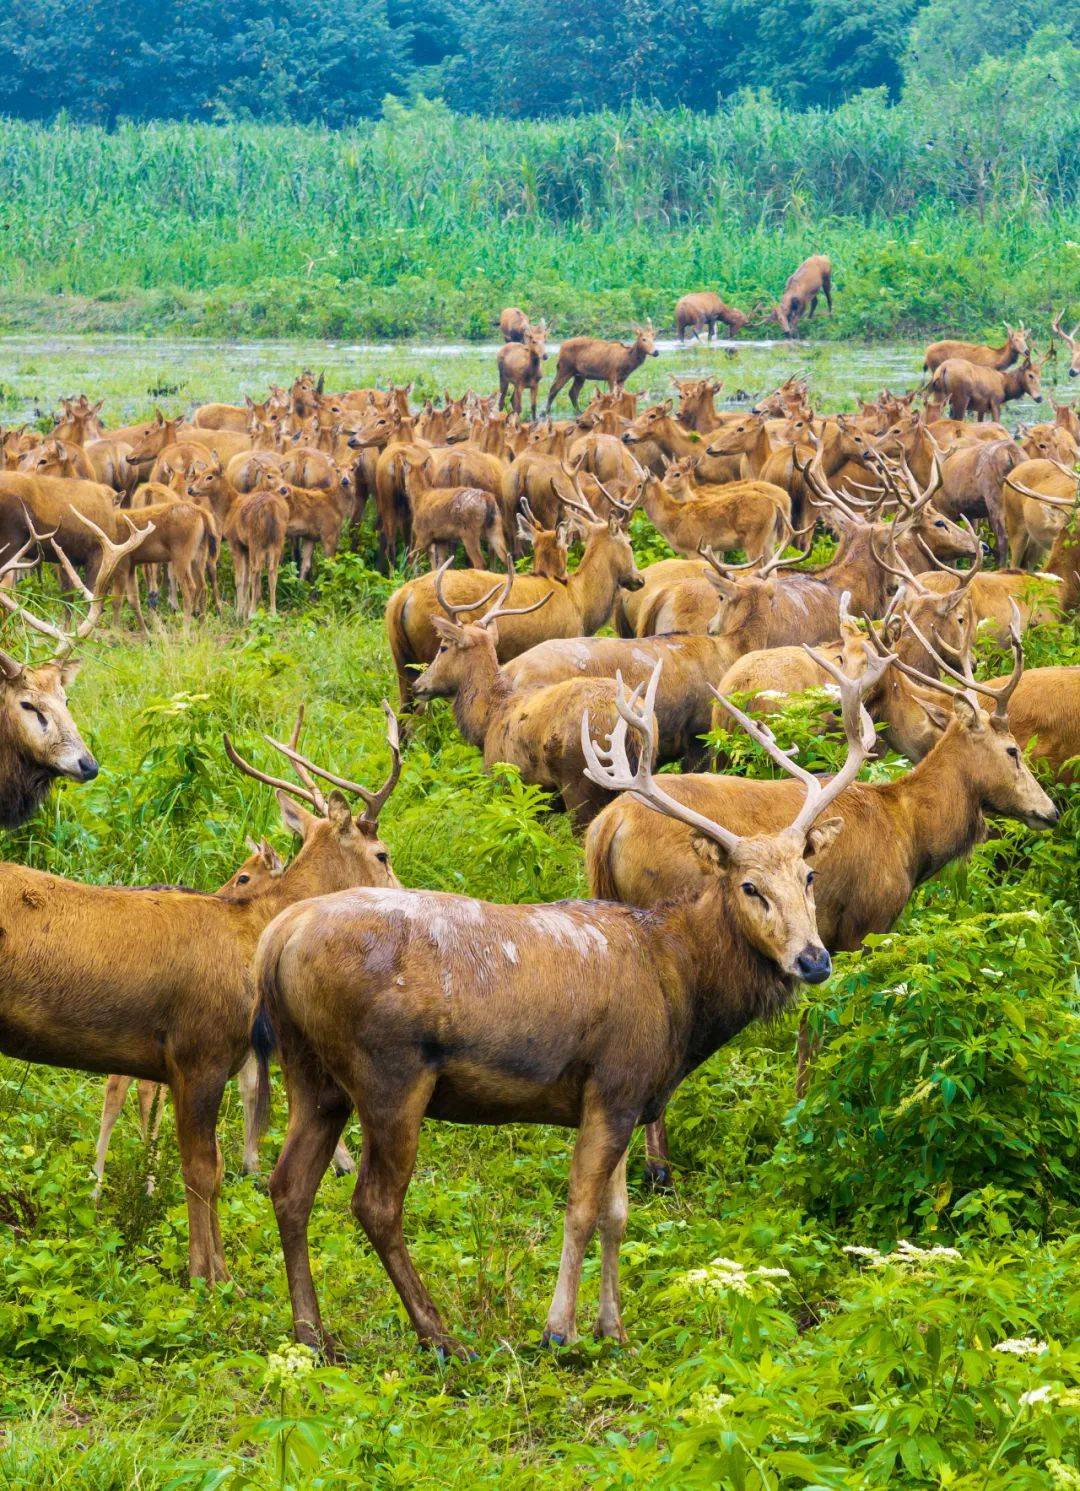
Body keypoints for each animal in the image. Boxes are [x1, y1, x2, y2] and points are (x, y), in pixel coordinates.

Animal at [0, 709, 399, 1282]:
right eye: (382, 853)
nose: (404, 891)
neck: (251, 938)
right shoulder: (198, 1052)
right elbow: (202, 1170)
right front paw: (208, 1278)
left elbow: (210, 1164)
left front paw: (216, 1273)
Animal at [250, 656, 883, 1365]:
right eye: (750, 887)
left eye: (808, 877)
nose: (814, 959)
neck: (681, 991)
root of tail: (276, 940)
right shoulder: (614, 1080)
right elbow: (580, 1208)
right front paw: (560, 1330)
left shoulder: (627, 1096)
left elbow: (617, 1215)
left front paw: (616, 1330)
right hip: (390, 1074)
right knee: (374, 1204)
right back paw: (440, 1335)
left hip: (314, 1076)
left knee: (288, 1187)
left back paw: (313, 1335)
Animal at [587, 623, 1056, 1180]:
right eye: (1013, 750)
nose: (1051, 810)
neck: (909, 834)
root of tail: (607, 826)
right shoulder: (864, 926)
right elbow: (838, 1025)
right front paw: (822, 1114)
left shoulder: (822, 939)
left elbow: (811, 1028)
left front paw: (801, 1112)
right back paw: (659, 1167)